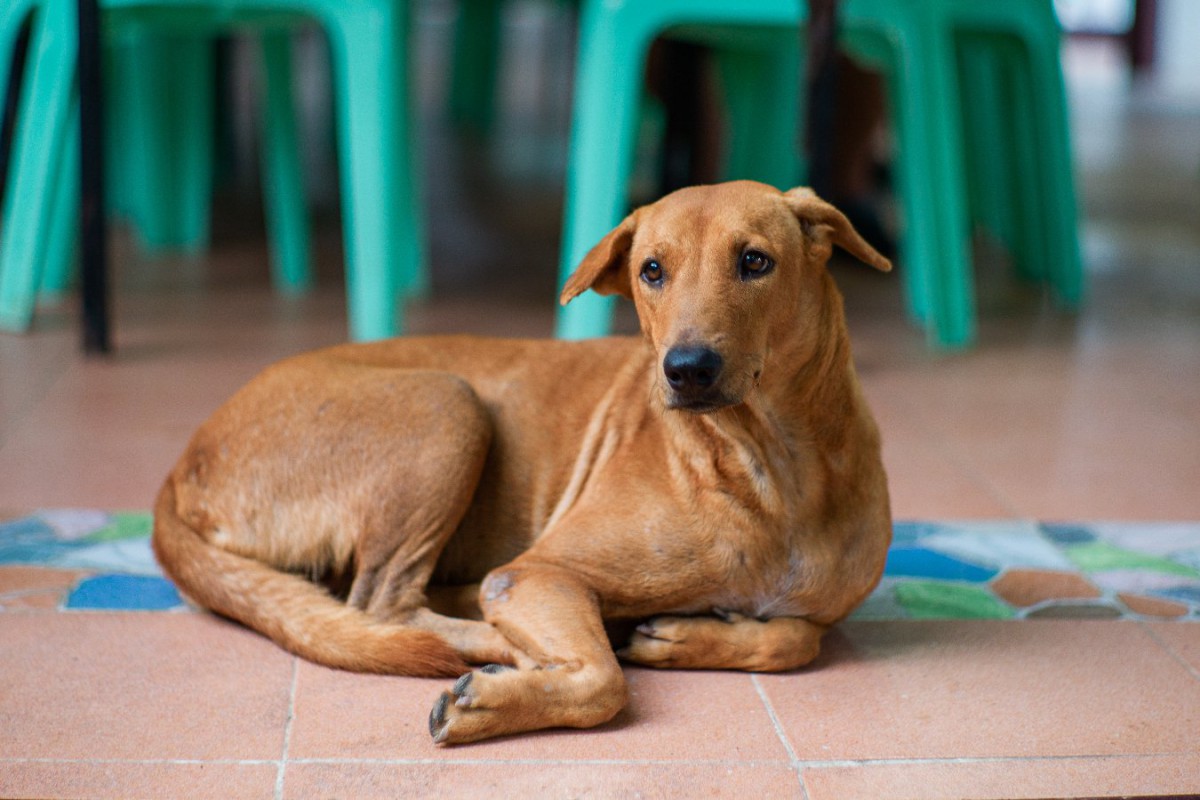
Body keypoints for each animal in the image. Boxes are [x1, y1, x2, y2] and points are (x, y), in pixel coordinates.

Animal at [152, 179, 892, 743]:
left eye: (756, 262)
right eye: (652, 270)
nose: (686, 369)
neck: (770, 468)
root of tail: (180, 468)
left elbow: (794, 638)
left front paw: (694, 636)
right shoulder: (542, 573)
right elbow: (603, 682)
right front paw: (500, 699)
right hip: (449, 403)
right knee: (385, 605)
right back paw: (502, 646)